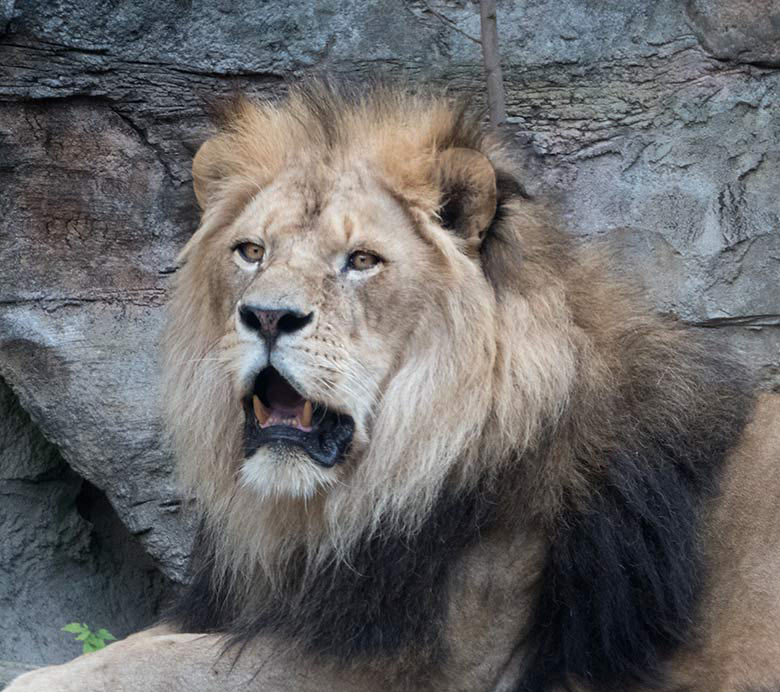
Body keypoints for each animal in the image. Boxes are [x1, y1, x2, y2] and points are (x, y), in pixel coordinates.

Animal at [7, 82, 780, 692]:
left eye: (361, 261)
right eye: (251, 251)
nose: (267, 316)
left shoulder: (418, 664)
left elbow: (161, 667)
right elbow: (142, 648)